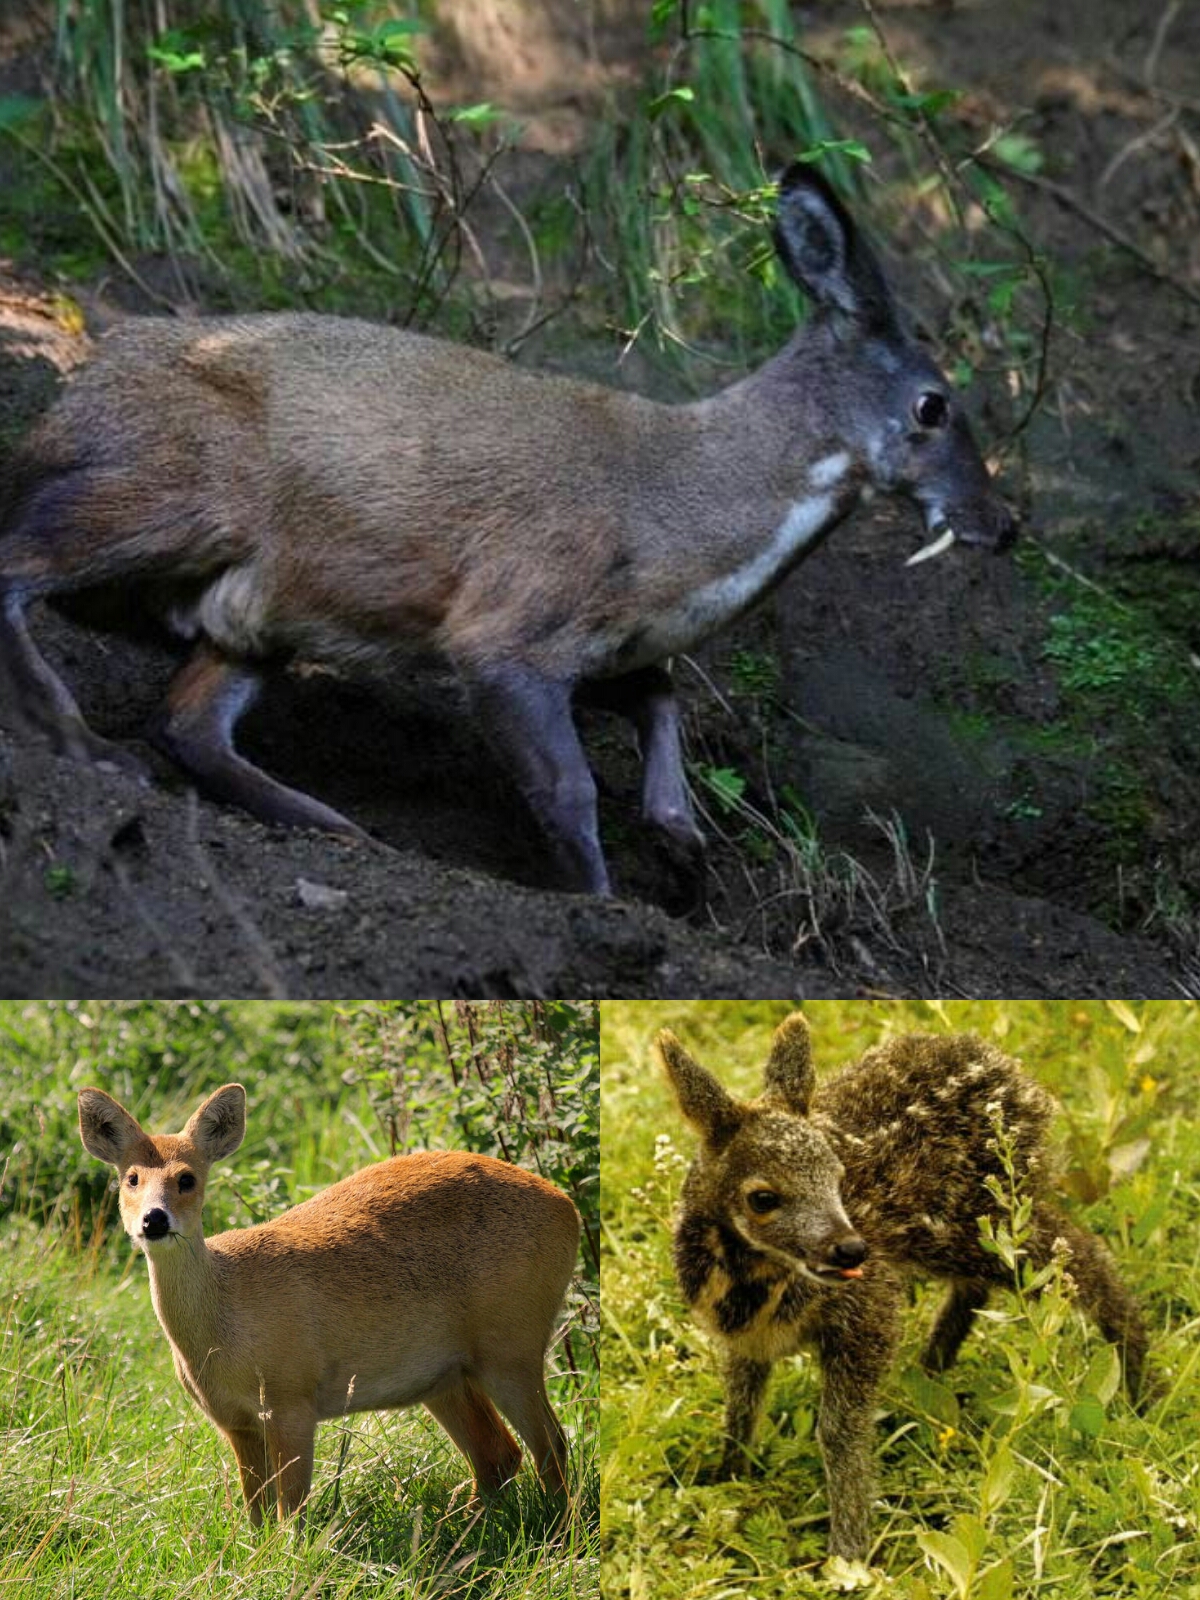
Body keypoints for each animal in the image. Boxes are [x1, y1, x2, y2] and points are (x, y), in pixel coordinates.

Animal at [0, 167, 1017, 896]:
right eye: (934, 405)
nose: (1001, 524)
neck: (670, 518)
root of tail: (77, 389)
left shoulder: (599, 637)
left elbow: (660, 696)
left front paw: (681, 842)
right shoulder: (507, 620)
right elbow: (569, 787)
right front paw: (602, 902)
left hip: (257, 607)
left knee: (188, 721)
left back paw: (337, 827)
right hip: (176, 493)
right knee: (19, 567)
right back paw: (85, 745)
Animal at [76, 1088, 582, 1523]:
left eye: (187, 1178)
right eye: (131, 1178)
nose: (154, 1220)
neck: (224, 1326)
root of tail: (569, 1208)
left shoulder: (292, 1399)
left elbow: (291, 1512)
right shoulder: (234, 1421)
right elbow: (257, 1513)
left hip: (512, 1344)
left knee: (551, 1446)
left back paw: (555, 1529)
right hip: (445, 1377)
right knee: (499, 1454)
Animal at [662, 1011, 1152, 1561]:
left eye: (837, 1176)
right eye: (763, 1197)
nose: (850, 1249)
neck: (753, 1292)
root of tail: (1017, 1075)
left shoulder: (870, 1310)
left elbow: (838, 1430)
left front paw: (849, 1551)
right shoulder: (745, 1341)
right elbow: (740, 1406)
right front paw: (726, 1481)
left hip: (991, 1218)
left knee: (1083, 1257)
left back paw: (1140, 1391)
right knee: (992, 1282)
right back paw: (931, 1369)